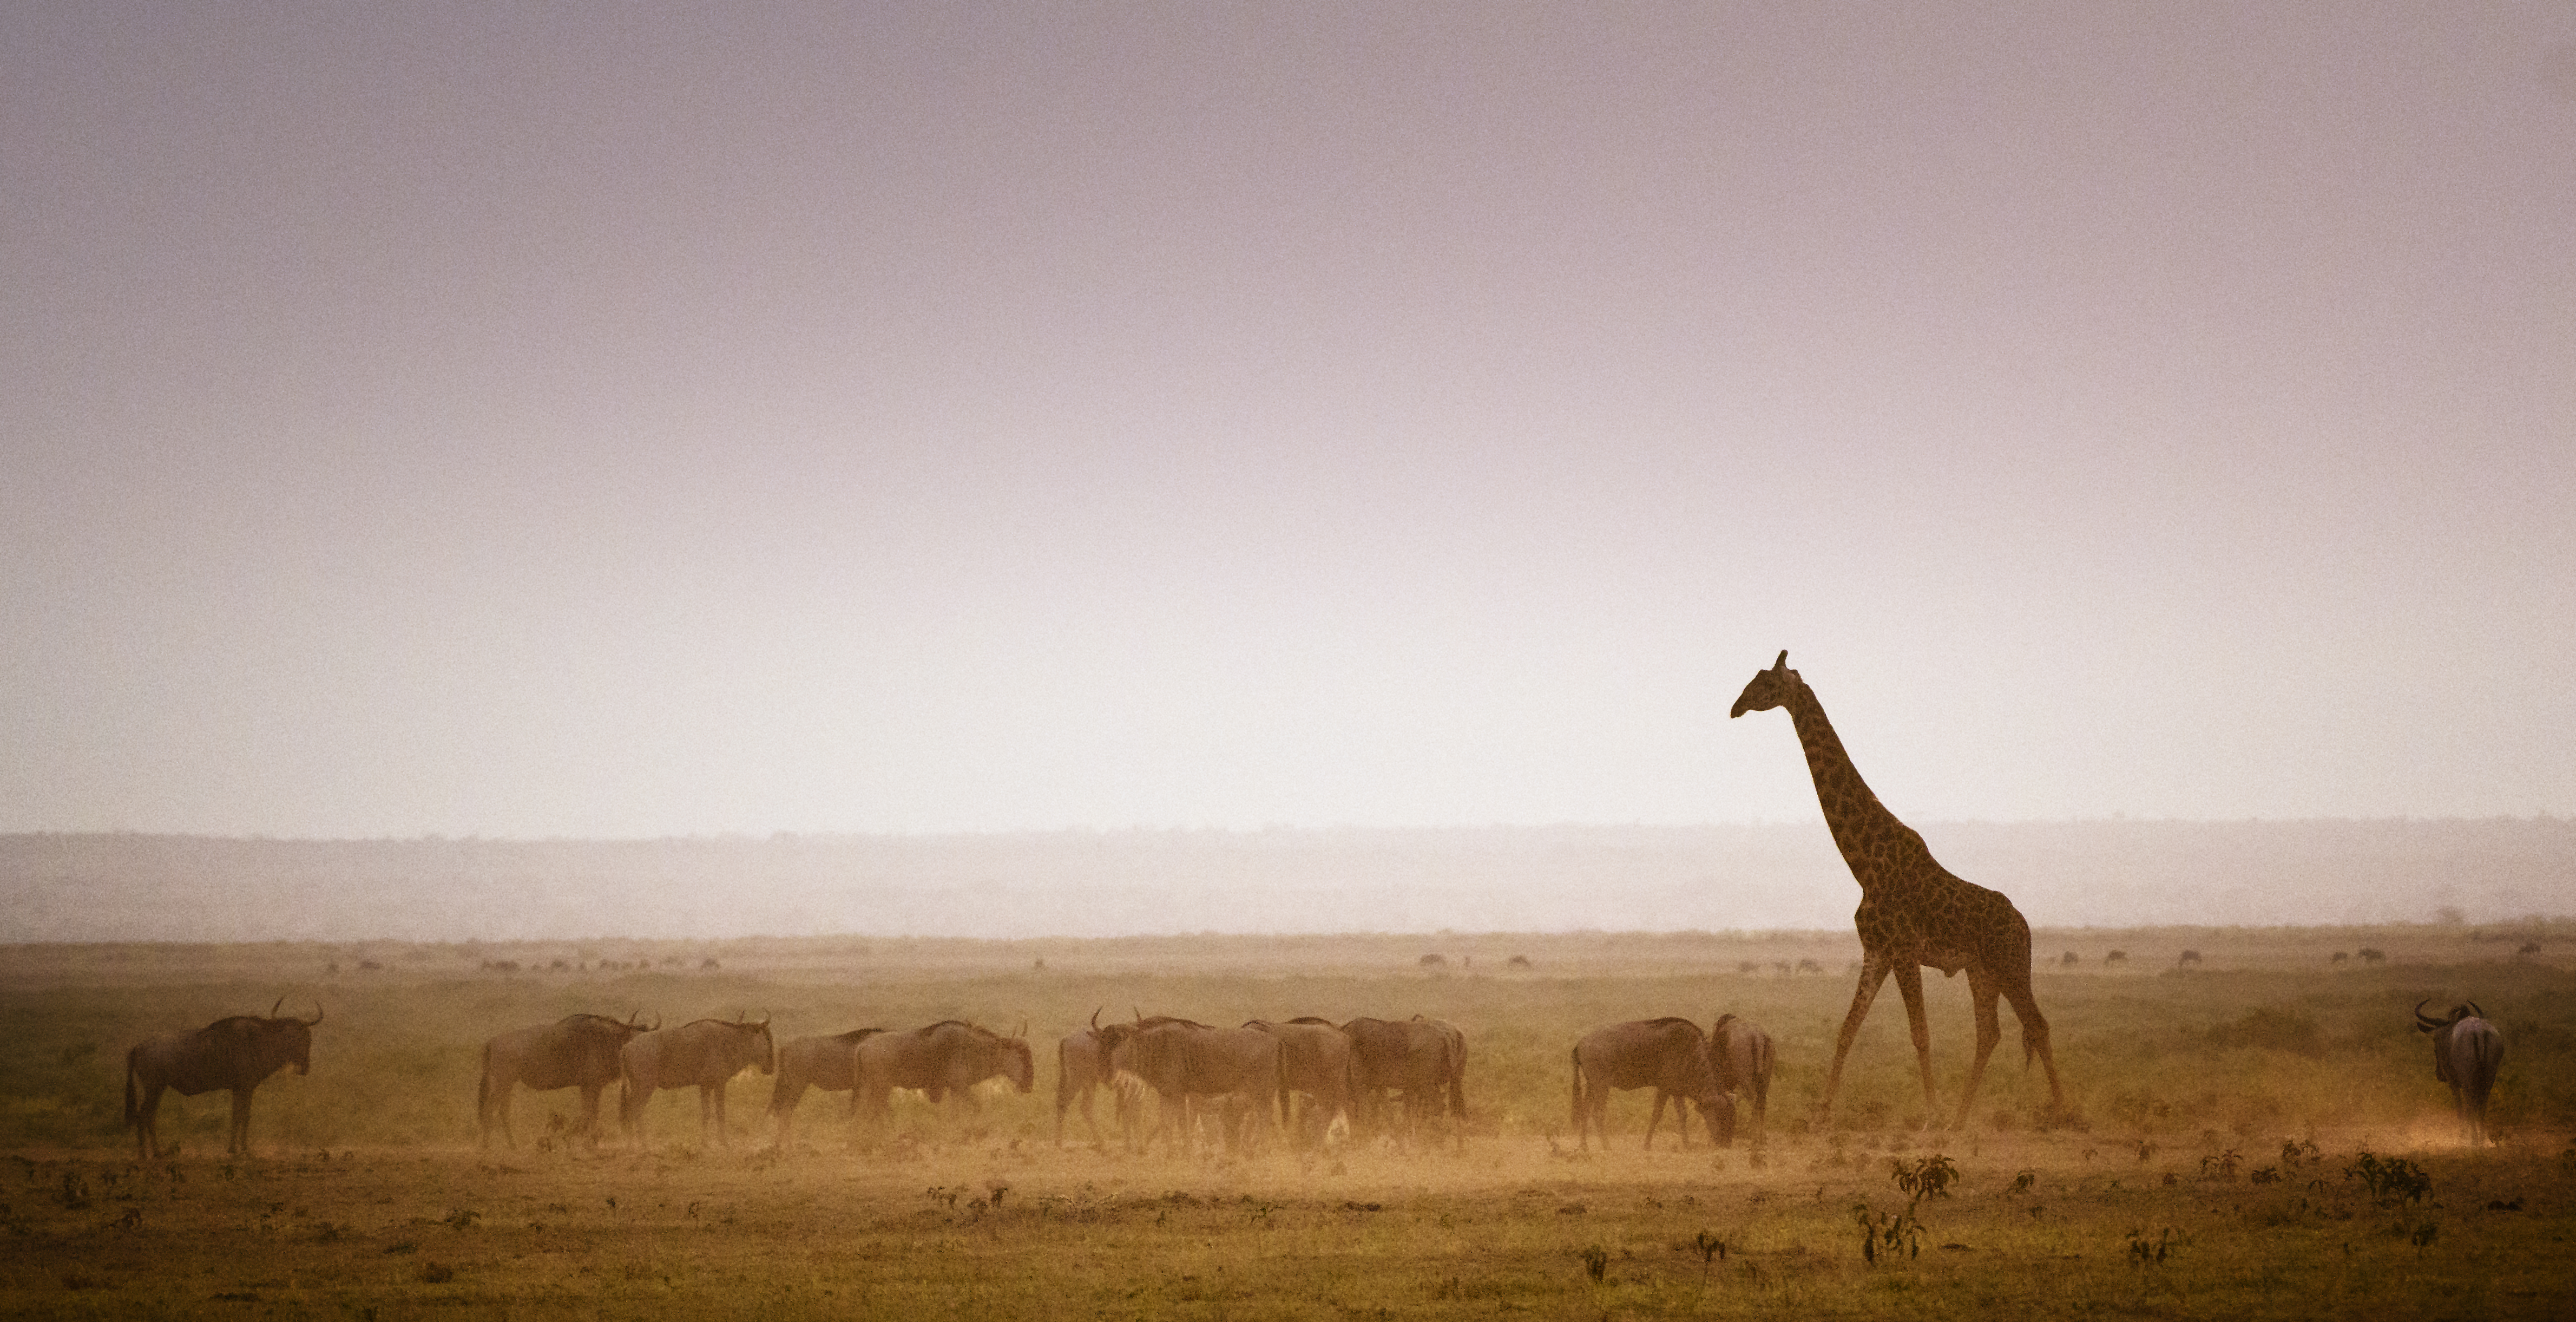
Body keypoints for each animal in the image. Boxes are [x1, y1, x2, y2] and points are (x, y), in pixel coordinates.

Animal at [1729, 651, 2064, 1128]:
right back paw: (1961, 1122)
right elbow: (1847, 1029)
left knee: (2037, 1025)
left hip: (2011, 964)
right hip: (1982, 971)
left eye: (1767, 684)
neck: (1864, 865)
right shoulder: (1877, 950)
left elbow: (1920, 1034)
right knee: (1990, 1033)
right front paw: (1822, 1115)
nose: (1735, 707)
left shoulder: (1904, 949)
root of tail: (2026, 927)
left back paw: (2062, 1111)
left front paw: (1930, 1117)